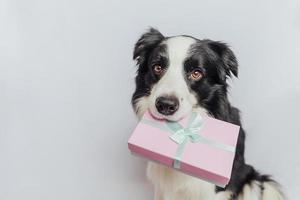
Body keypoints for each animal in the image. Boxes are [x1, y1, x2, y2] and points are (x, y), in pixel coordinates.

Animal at [131, 28, 284, 200]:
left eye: (196, 73)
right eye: (157, 67)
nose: (165, 105)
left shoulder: (214, 189)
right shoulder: (161, 186)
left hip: (251, 183)